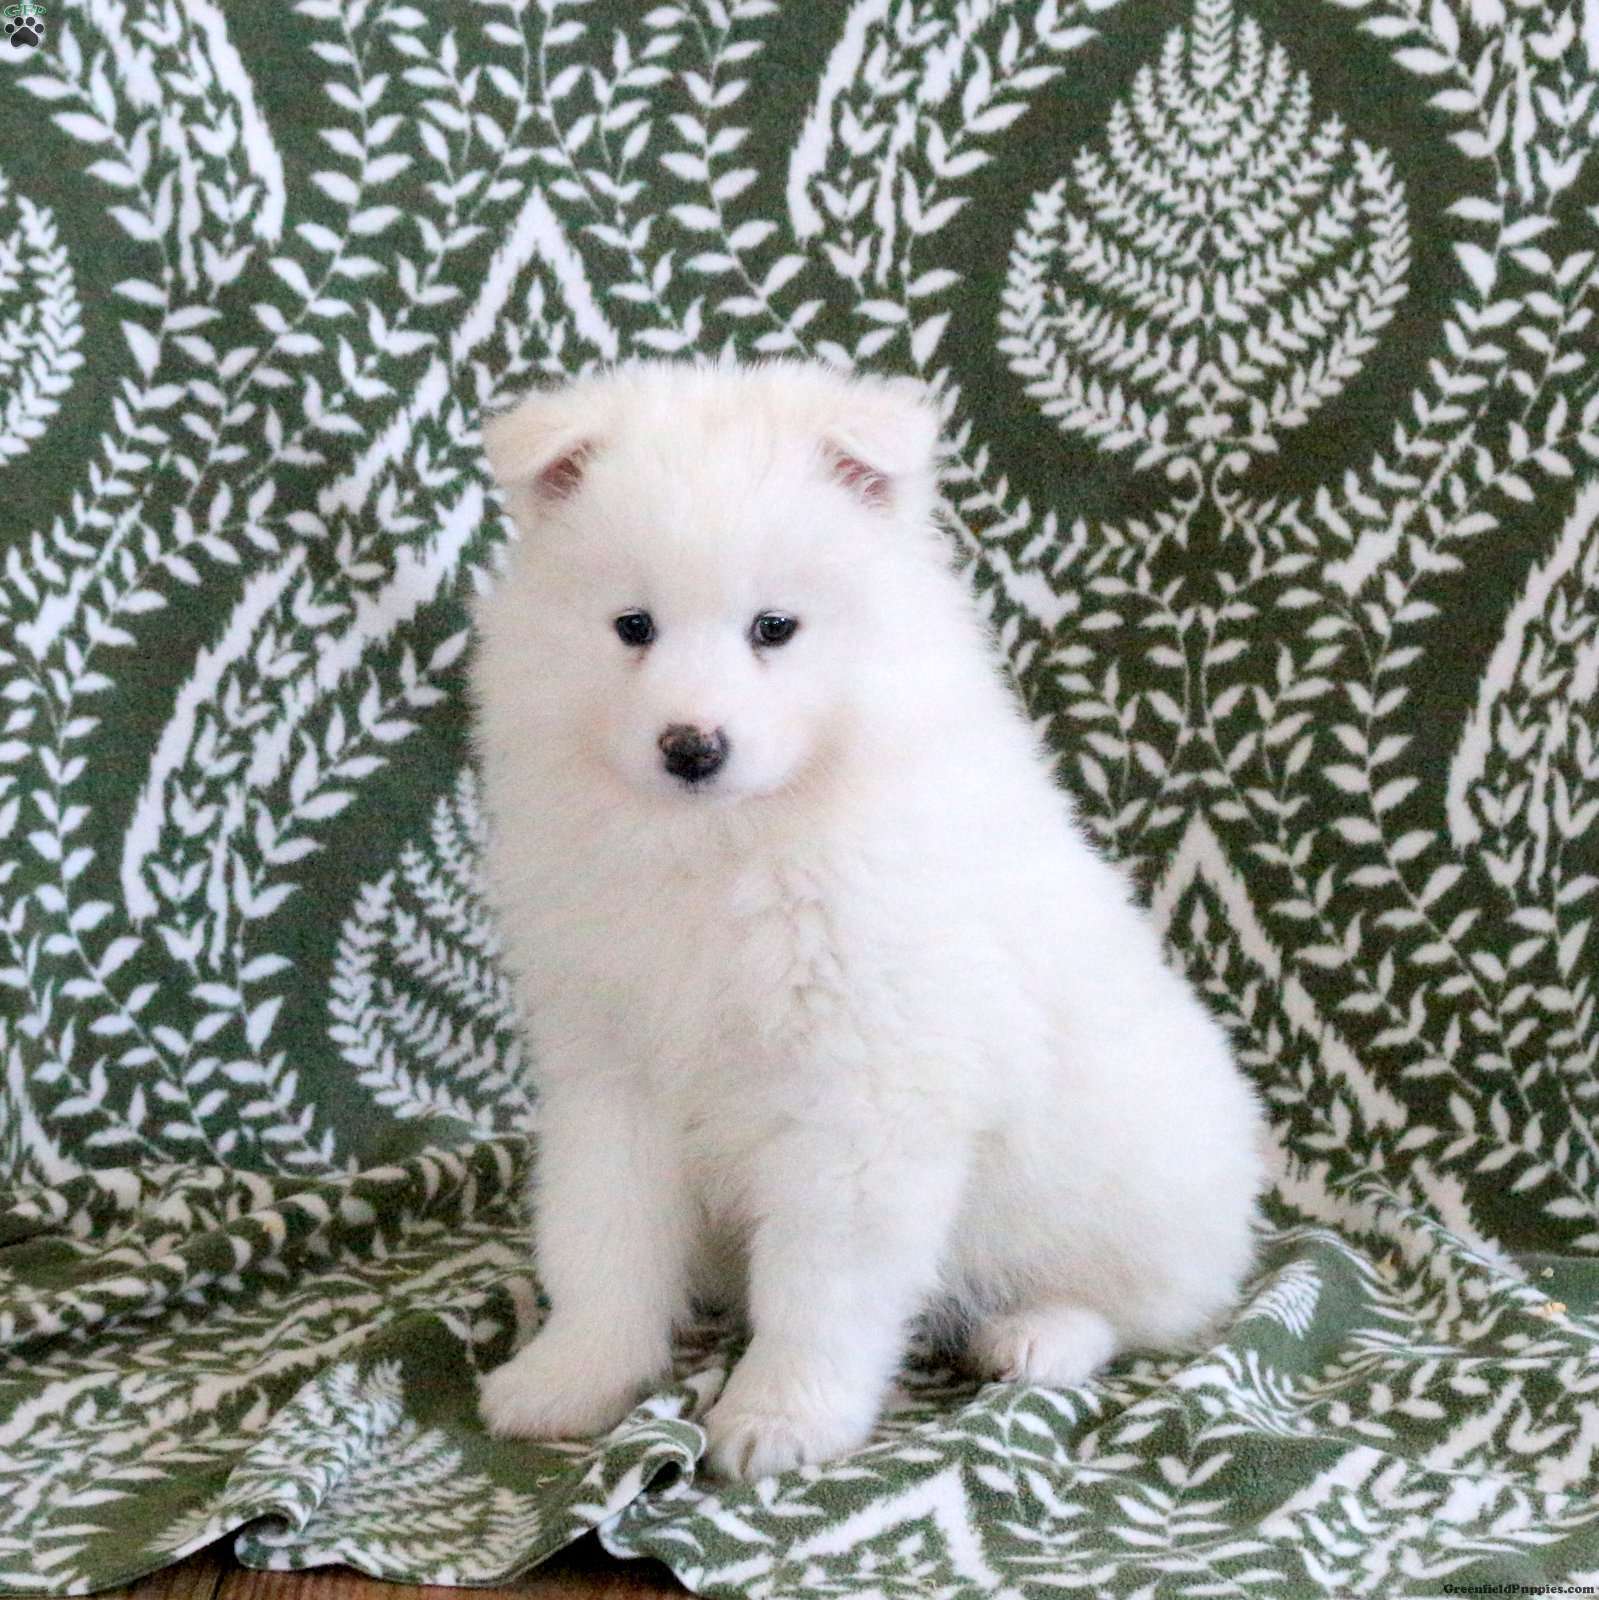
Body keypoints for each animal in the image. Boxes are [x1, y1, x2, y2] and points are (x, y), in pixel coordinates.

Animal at [471, 359, 1265, 1480]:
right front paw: (570, 1376)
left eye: (773, 627)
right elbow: (603, 1238)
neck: (727, 847)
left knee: (1142, 1304)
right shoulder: (610, 1071)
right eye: (632, 627)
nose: (691, 745)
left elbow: (821, 1288)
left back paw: (1035, 1335)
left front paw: (781, 1419)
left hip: (1119, 1179)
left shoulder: (865, 1093)